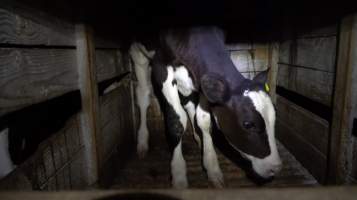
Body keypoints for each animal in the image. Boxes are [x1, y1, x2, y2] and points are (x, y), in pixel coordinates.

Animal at [128, 27, 280, 188]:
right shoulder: (161, 66)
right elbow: (176, 122)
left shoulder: (202, 79)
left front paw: (212, 167)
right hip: (137, 52)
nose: (276, 167)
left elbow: (204, 120)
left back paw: (198, 138)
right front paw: (179, 175)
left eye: (275, 117)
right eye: (248, 124)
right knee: (143, 94)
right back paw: (142, 142)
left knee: (188, 103)